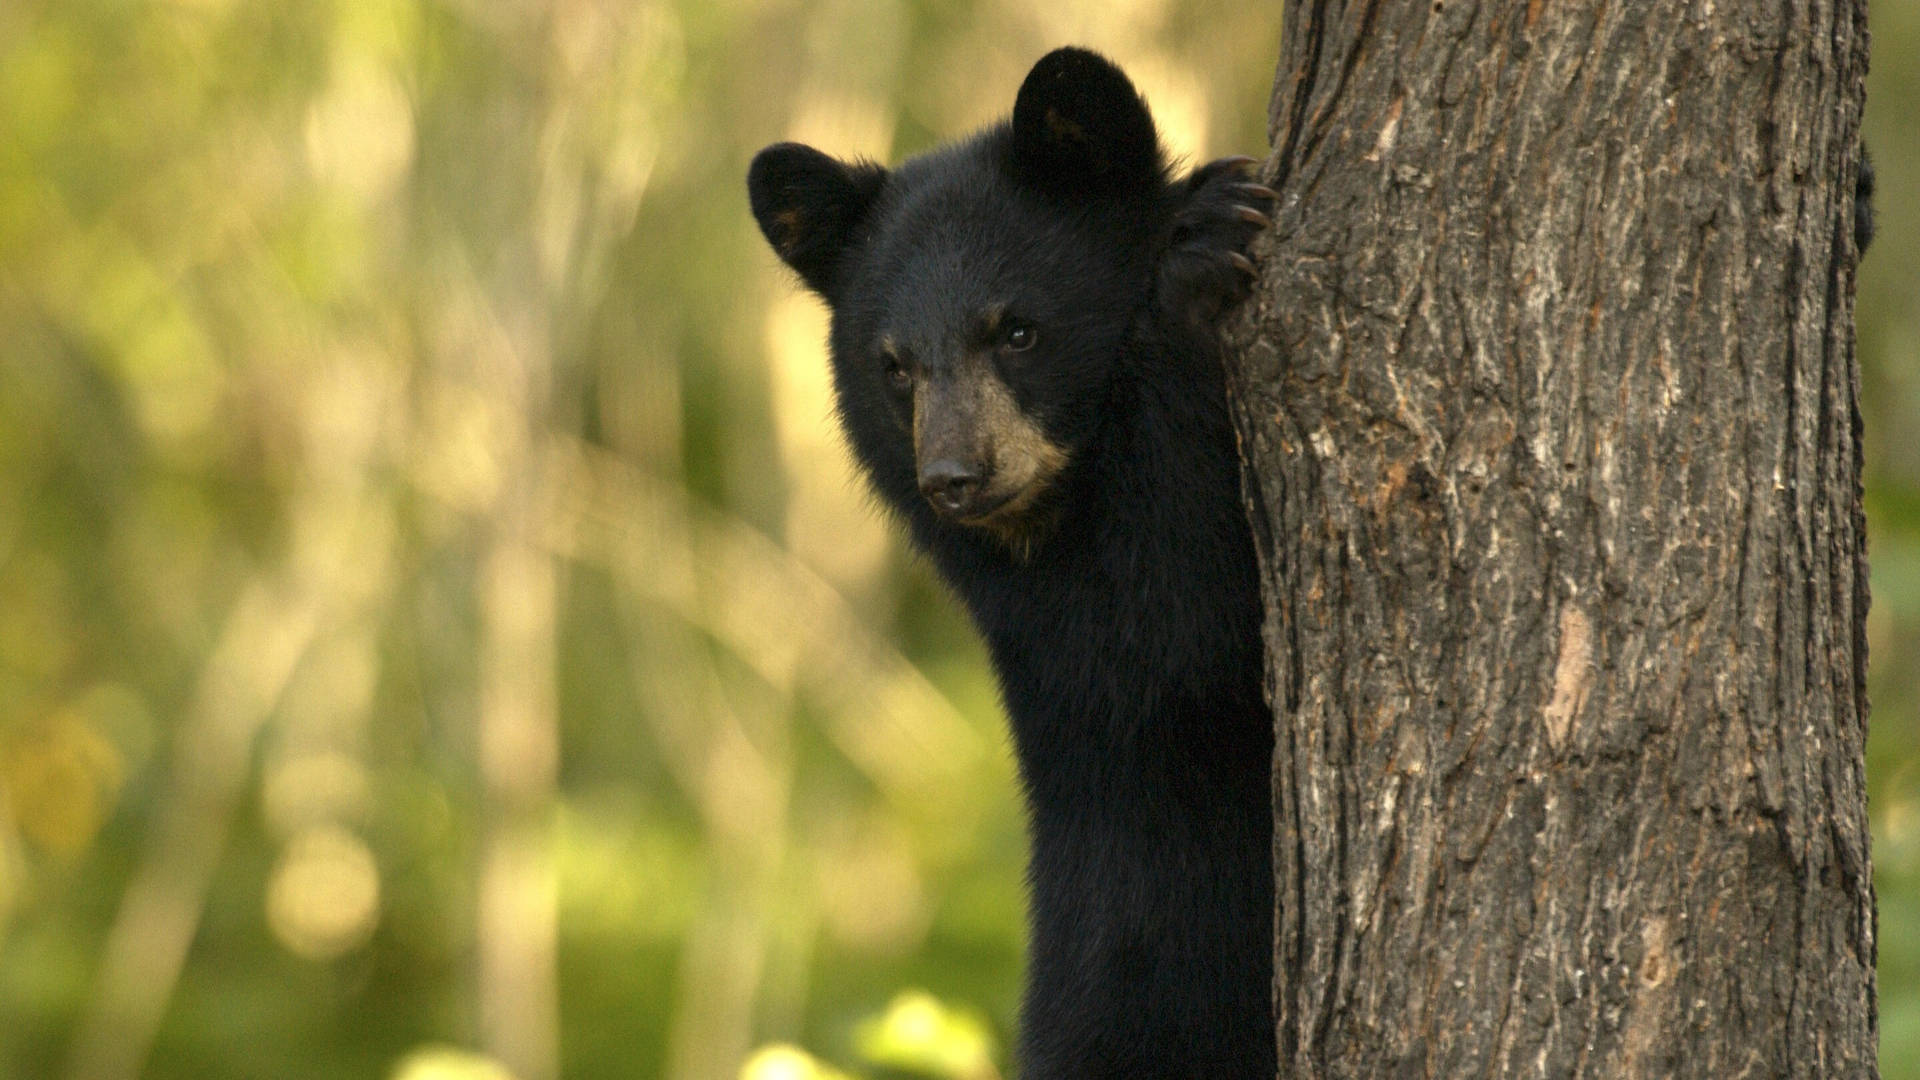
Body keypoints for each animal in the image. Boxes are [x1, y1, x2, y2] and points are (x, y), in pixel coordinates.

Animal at [748, 46, 1274, 1068]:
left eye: (1018, 329)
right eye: (896, 364)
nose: (954, 477)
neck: (1065, 505)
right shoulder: (1067, 620)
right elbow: (1188, 612)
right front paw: (1205, 253)